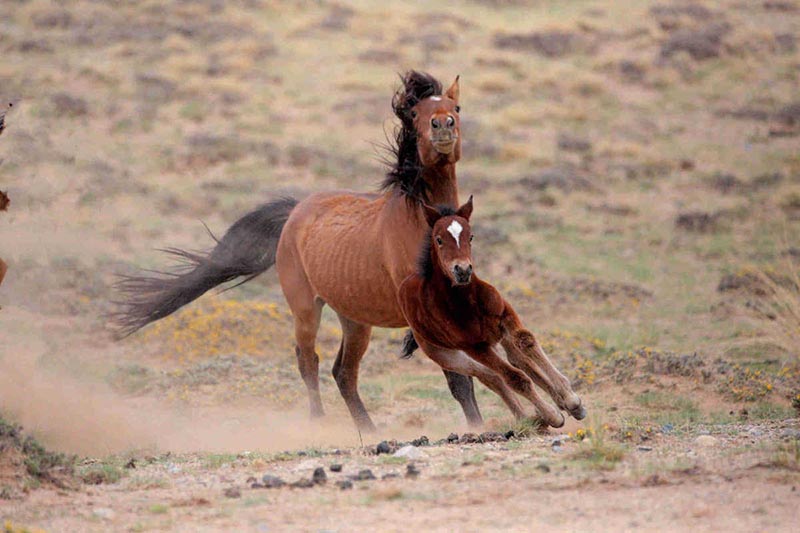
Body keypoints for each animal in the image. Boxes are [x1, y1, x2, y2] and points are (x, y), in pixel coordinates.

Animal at [396, 197, 584, 426]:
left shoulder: (505, 315)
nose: (462, 270)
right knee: (491, 375)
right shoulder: (474, 346)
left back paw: (562, 405)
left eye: (470, 236)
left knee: (518, 360)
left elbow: (526, 340)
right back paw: (528, 419)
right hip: (449, 355)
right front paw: (552, 416)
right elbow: (514, 377)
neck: (466, 301)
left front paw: (571, 399)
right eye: (439, 239)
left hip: (497, 337)